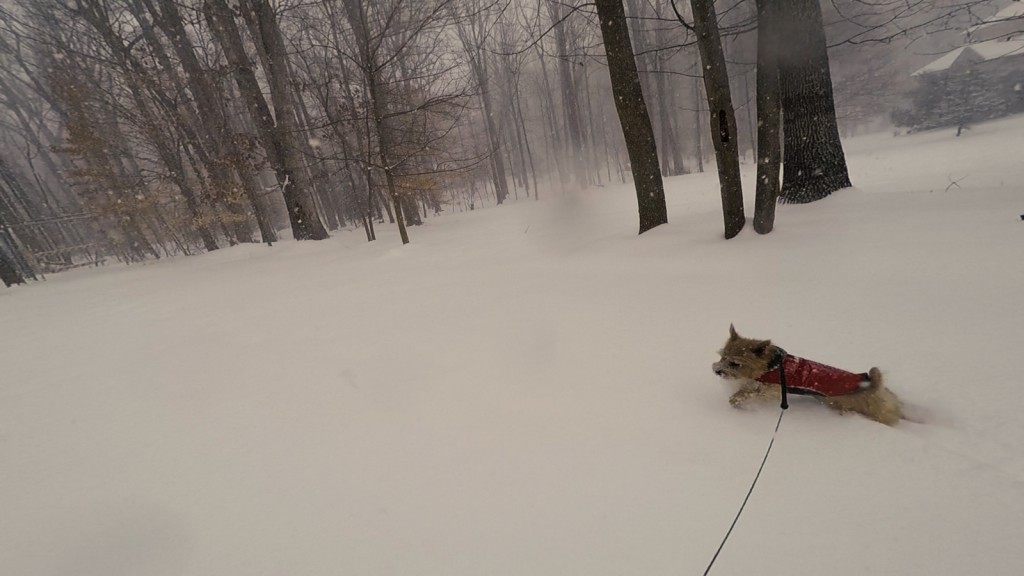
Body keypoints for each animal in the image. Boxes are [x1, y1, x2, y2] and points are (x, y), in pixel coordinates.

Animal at [712, 325, 905, 424]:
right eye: (722, 356)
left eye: (735, 363)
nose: (717, 370)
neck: (771, 365)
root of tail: (869, 383)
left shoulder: (771, 390)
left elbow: (747, 393)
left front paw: (736, 400)